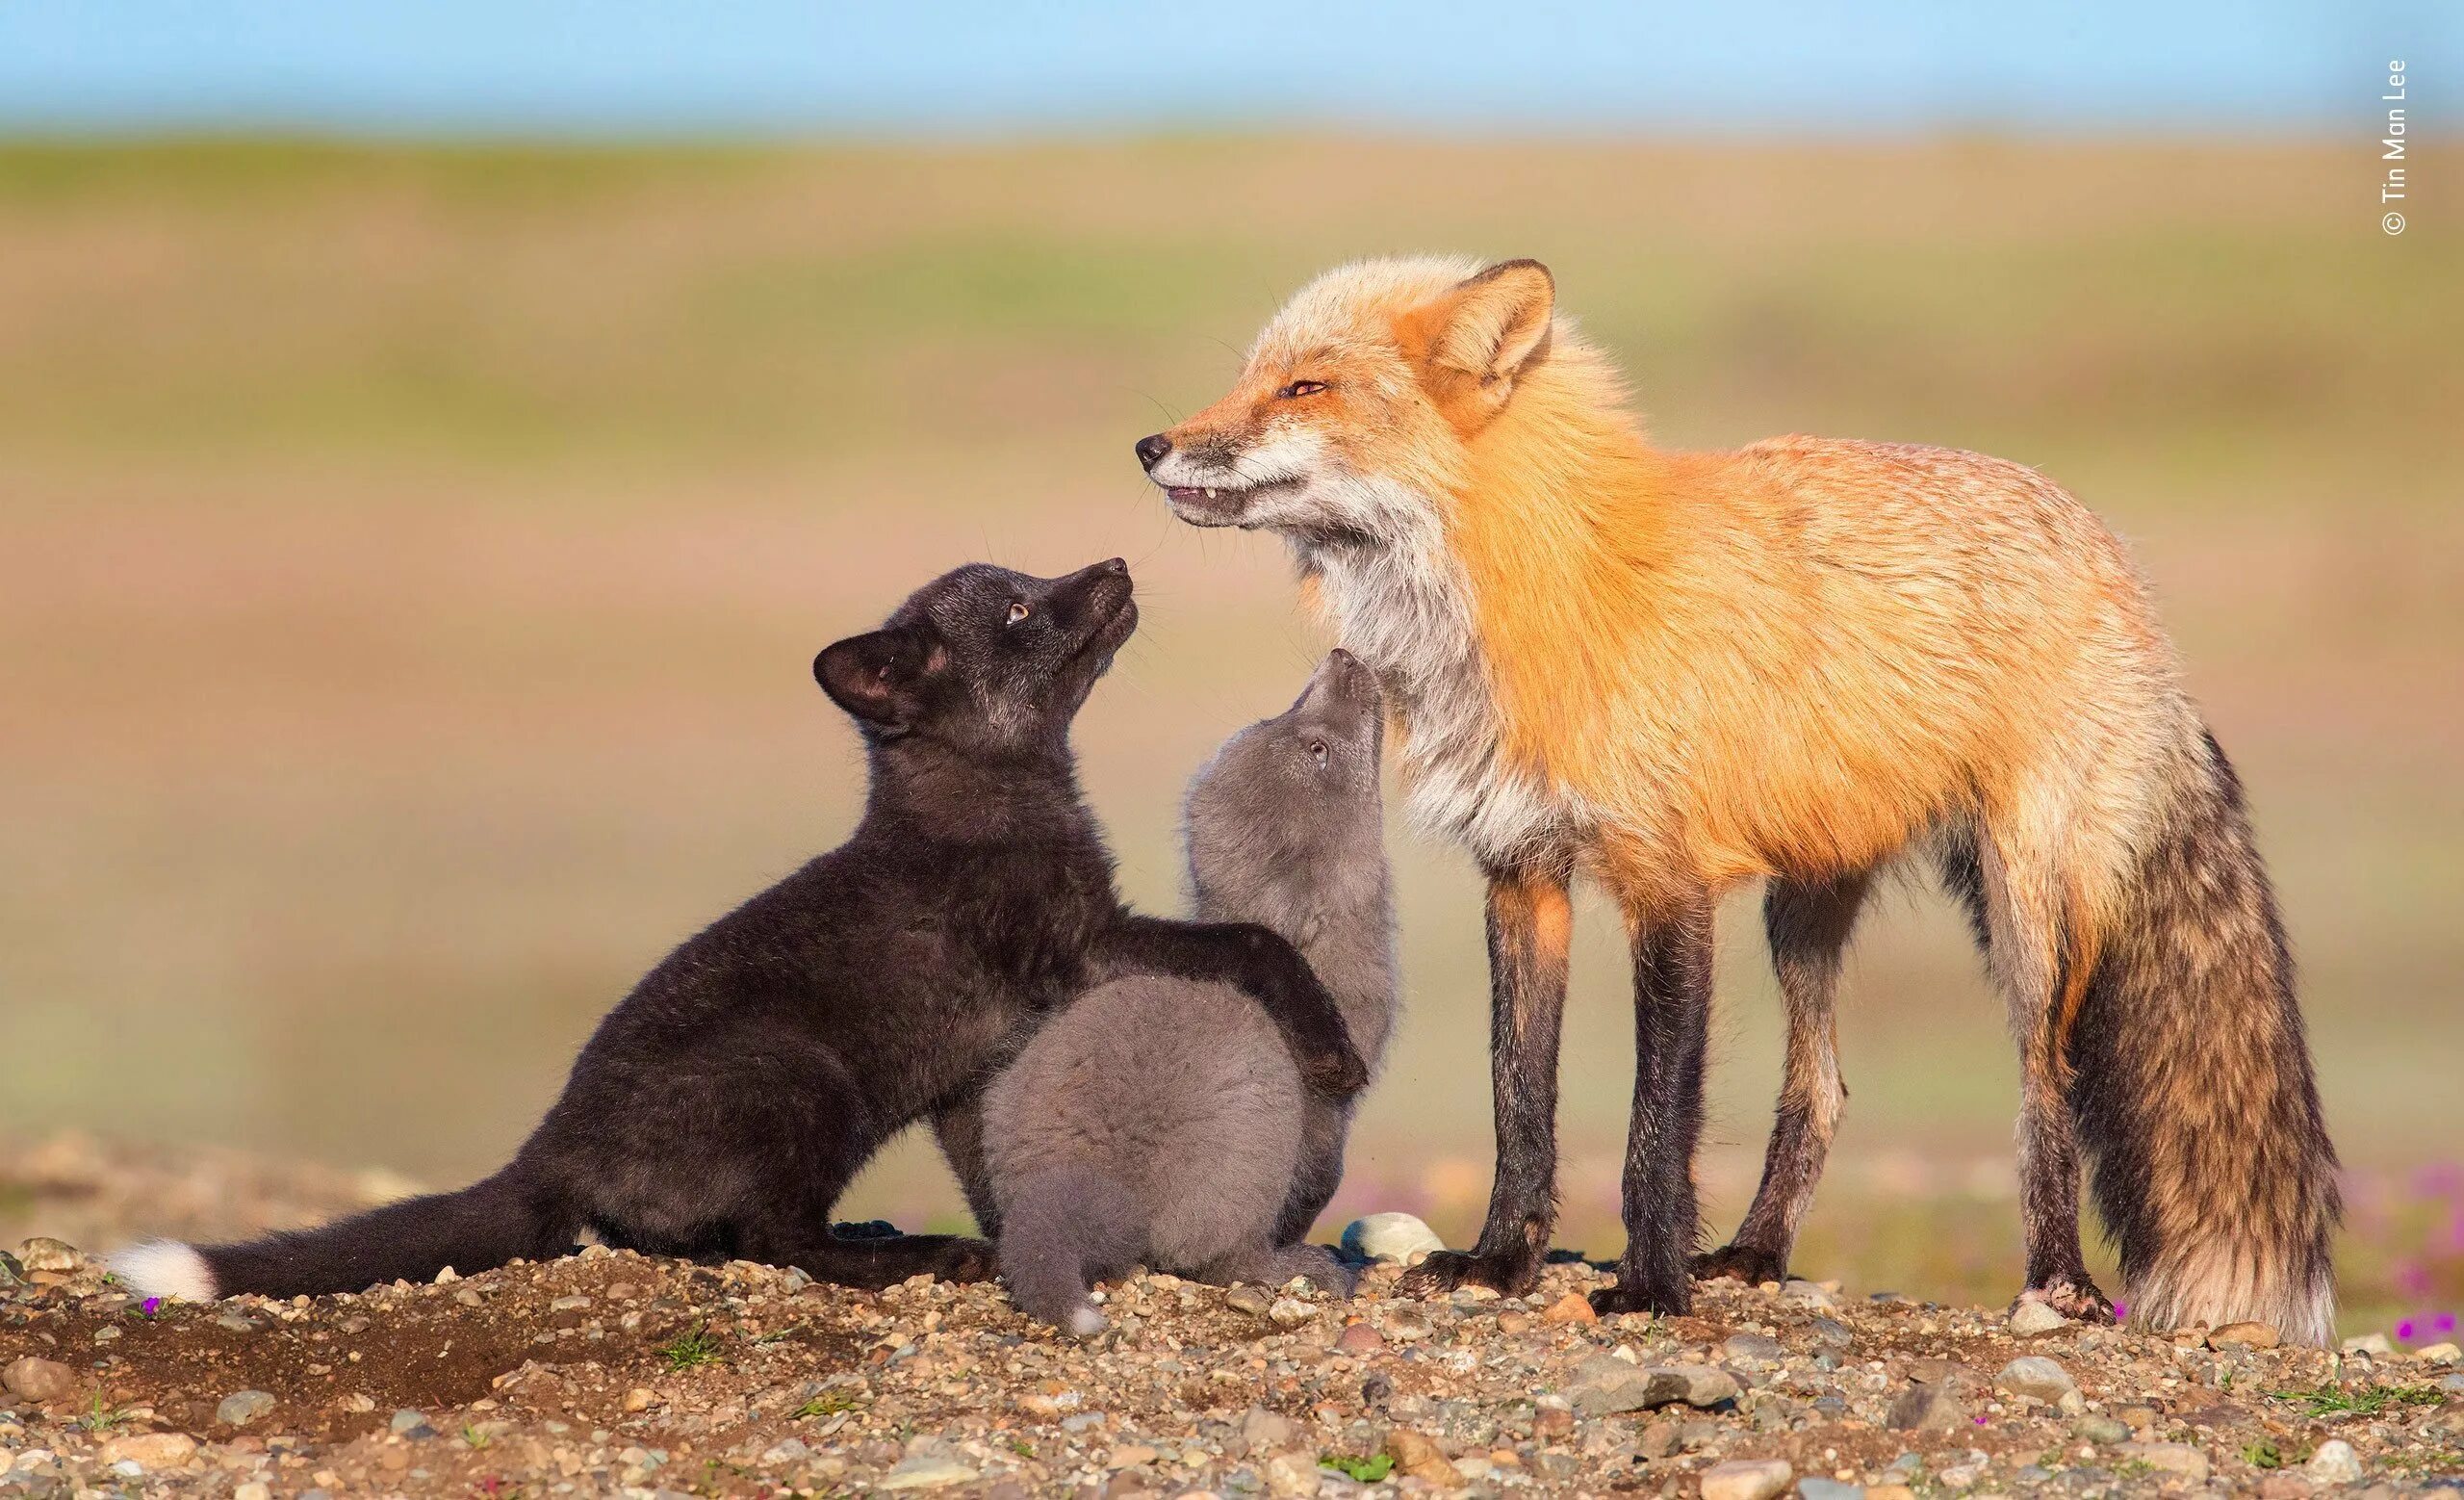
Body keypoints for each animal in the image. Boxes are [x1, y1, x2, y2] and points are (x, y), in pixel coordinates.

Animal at [1142, 250, 2335, 1339]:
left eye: (1306, 387)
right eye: (1251, 376)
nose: (1151, 446)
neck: (1552, 587)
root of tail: (2114, 555)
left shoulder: (1669, 883)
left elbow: (1656, 1121)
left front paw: (1649, 1284)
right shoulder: (1523, 871)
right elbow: (1517, 1099)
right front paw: (1500, 1262)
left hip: (2027, 909)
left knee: (2046, 1086)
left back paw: (2059, 1282)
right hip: (1804, 904)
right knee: (1822, 1087)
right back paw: (1758, 1253)